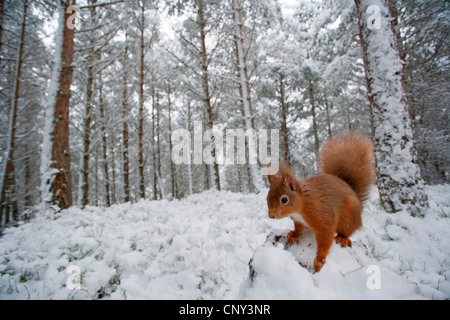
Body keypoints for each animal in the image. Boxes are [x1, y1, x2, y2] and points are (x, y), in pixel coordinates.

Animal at [268, 132, 376, 272]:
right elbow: (298, 228)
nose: (271, 215)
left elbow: (326, 237)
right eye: (267, 195)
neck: (302, 206)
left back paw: (342, 238)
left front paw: (319, 259)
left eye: (284, 199)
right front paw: (294, 235)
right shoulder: (298, 220)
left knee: (347, 231)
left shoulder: (322, 216)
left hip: (348, 217)